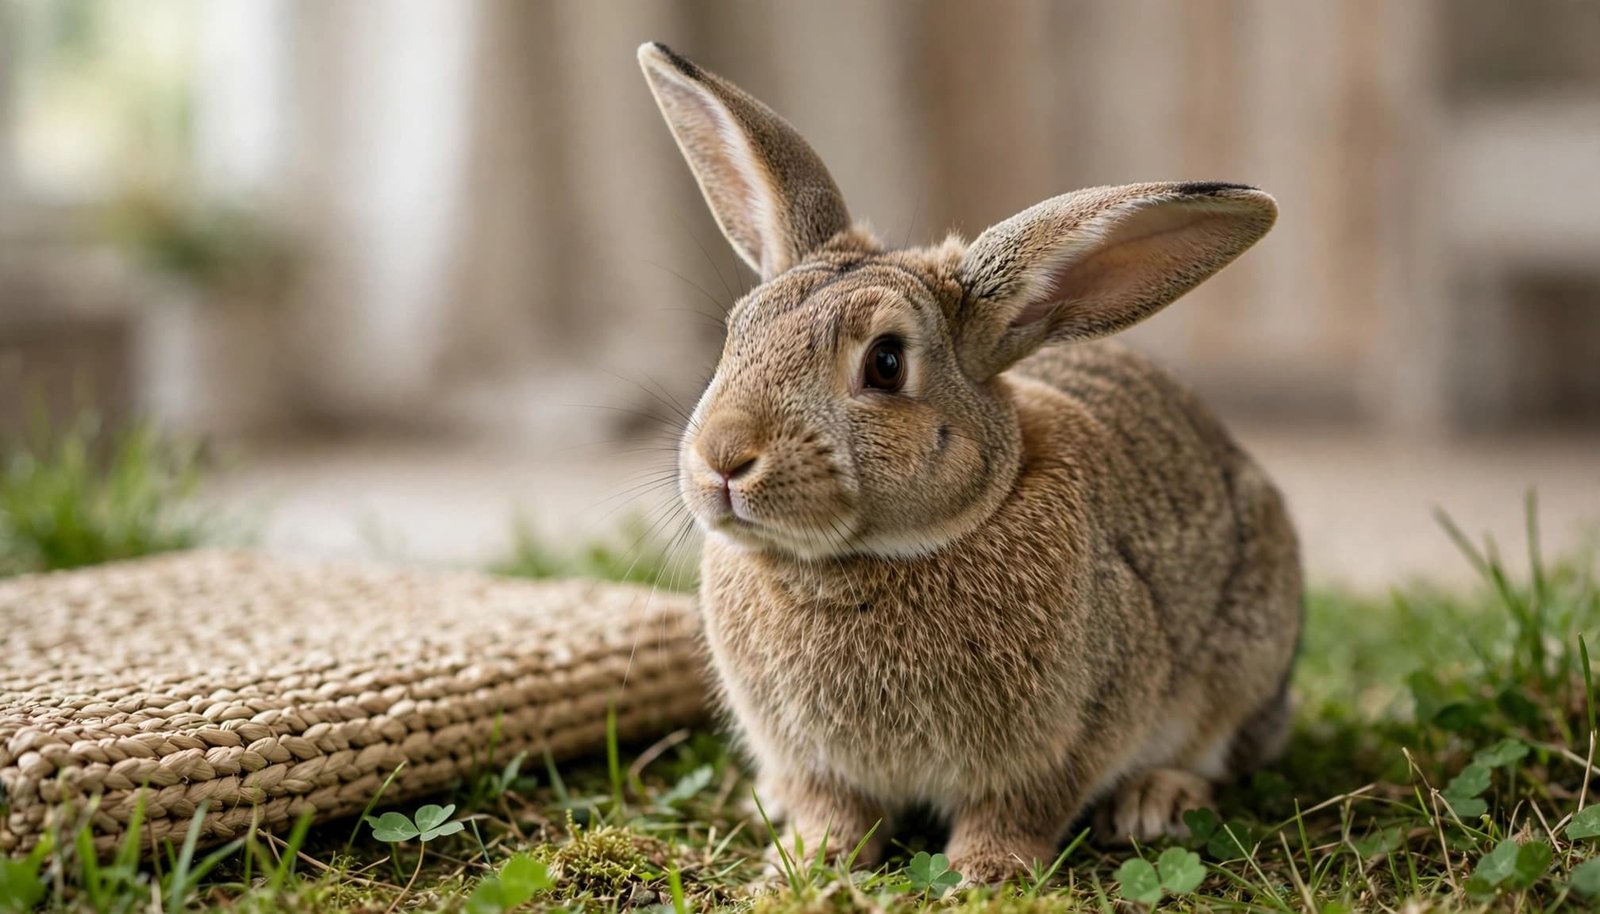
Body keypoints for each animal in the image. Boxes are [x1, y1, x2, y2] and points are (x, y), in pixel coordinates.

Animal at [638, 42, 1302, 885]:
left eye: (886, 363)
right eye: (736, 333)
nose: (723, 458)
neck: (863, 561)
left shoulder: (1063, 743)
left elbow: (1017, 810)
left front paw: (986, 873)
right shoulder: (813, 760)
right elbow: (833, 808)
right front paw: (804, 864)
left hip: (1246, 656)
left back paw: (1154, 801)